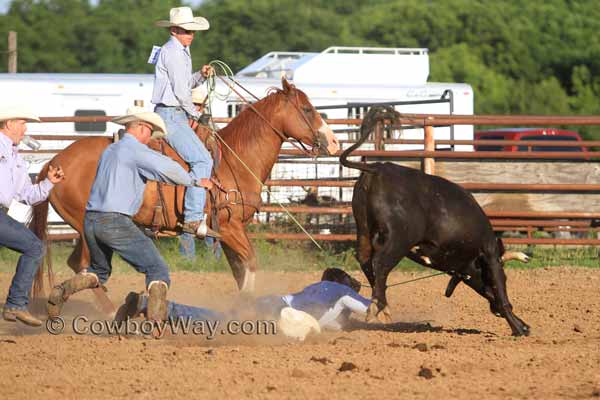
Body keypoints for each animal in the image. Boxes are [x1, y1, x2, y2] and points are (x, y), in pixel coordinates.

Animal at [30, 79, 340, 294]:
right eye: (307, 108)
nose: (334, 142)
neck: (234, 160)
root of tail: (54, 163)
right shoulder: (230, 227)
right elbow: (251, 263)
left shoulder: (226, 232)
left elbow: (240, 271)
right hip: (86, 226)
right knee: (84, 266)